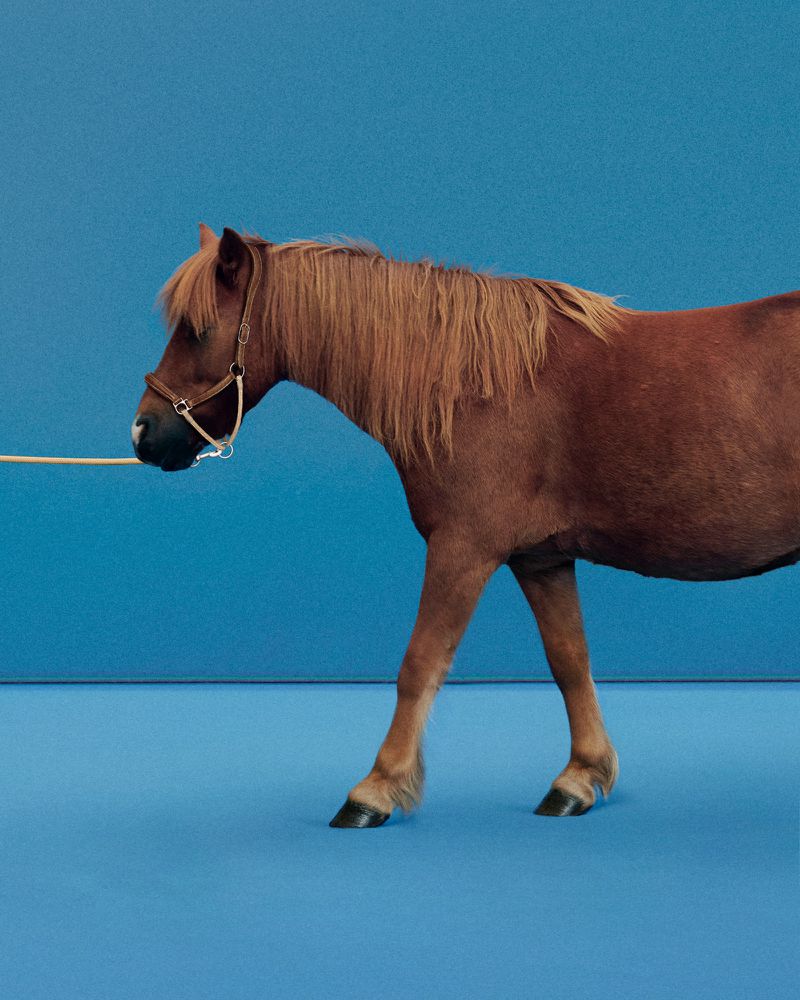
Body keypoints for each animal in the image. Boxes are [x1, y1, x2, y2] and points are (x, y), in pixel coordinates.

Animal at [133, 223, 800, 828]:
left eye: (197, 330)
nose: (143, 433)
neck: (476, 384)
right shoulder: (541, 559)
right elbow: (569, 661)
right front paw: (580, 777)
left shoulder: (463, 548)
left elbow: (420, 664)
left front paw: (376, 788)